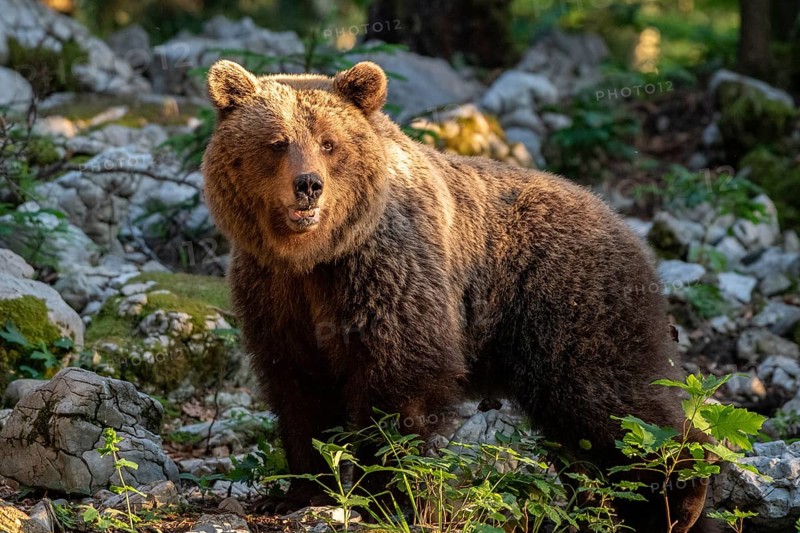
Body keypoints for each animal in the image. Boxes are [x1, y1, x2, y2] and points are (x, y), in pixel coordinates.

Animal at [202, 59, 719, 533]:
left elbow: (400, 385)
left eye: (329, 143)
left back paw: (679, 499)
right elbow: (299, 389)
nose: (308, 186)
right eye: (277, 142)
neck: (315, 256)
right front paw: (296, 492)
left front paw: (387, 499)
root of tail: (624, 224)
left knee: (614, 403)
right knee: (581, 435)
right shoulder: (275, 292)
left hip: (570, 303)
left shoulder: (389, 275)